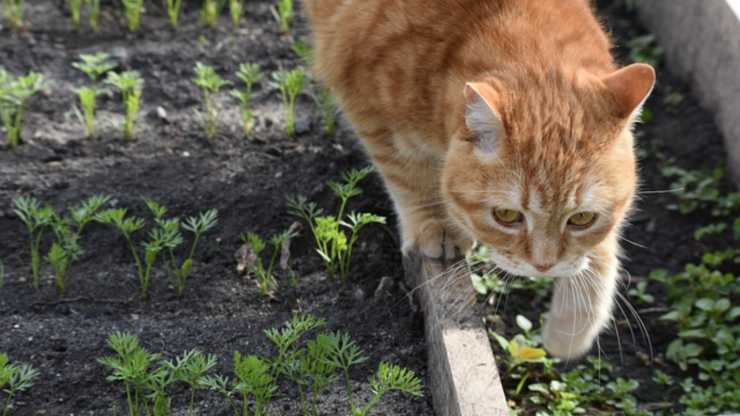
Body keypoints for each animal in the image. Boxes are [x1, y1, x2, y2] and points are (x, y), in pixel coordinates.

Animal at [304, 0, 656, 358]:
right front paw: (436, 224)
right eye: (506, 216)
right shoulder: (371, 115)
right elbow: (409, 177)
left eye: (582, 218)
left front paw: (572, 326)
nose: (543, 266)